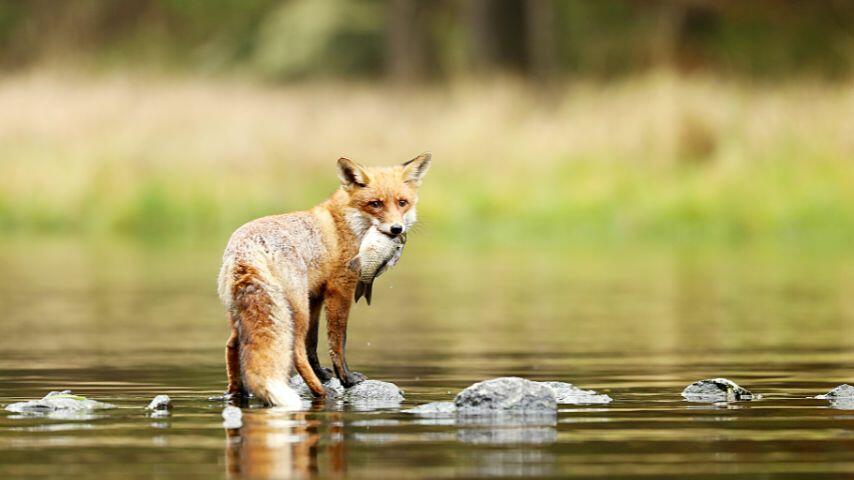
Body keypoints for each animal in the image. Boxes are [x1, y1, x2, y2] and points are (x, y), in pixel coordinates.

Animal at [217, 154, 432, 408]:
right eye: (375, 204)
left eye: (402, 202)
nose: (396, 228)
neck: (346, 224)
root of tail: (245, 249)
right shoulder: (340, 289)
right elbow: (337, 341)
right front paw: (346, 379)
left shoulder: (316, 296)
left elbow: (313, 342)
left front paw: (322, 373)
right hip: (295, 309)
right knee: (295, 352)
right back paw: (321, 393)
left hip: (244, 311)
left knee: (233, 345)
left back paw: (237, 394)